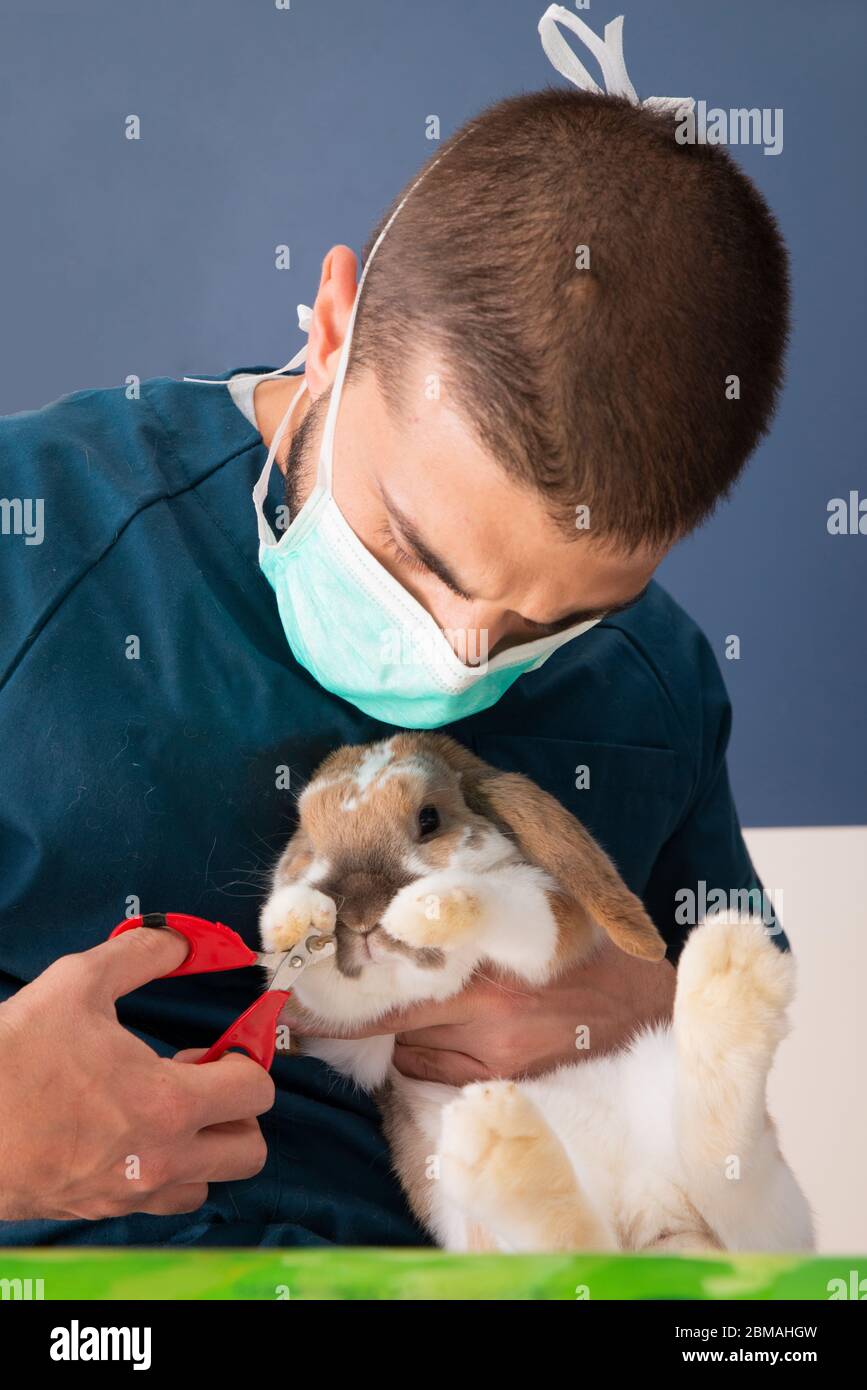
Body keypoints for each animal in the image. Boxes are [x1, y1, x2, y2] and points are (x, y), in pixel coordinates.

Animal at [259, 732, 814, 1253]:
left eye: (429, 819)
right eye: (309, 840)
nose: (359, 914)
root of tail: (651, 1221)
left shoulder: (549, 921)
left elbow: (501, 904)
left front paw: (424, 909)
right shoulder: (355, 1038)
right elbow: (326, 992)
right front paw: (293, 919)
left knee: (730, 1175)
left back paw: (735, 964)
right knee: (576, 1245)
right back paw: (500, 1147)